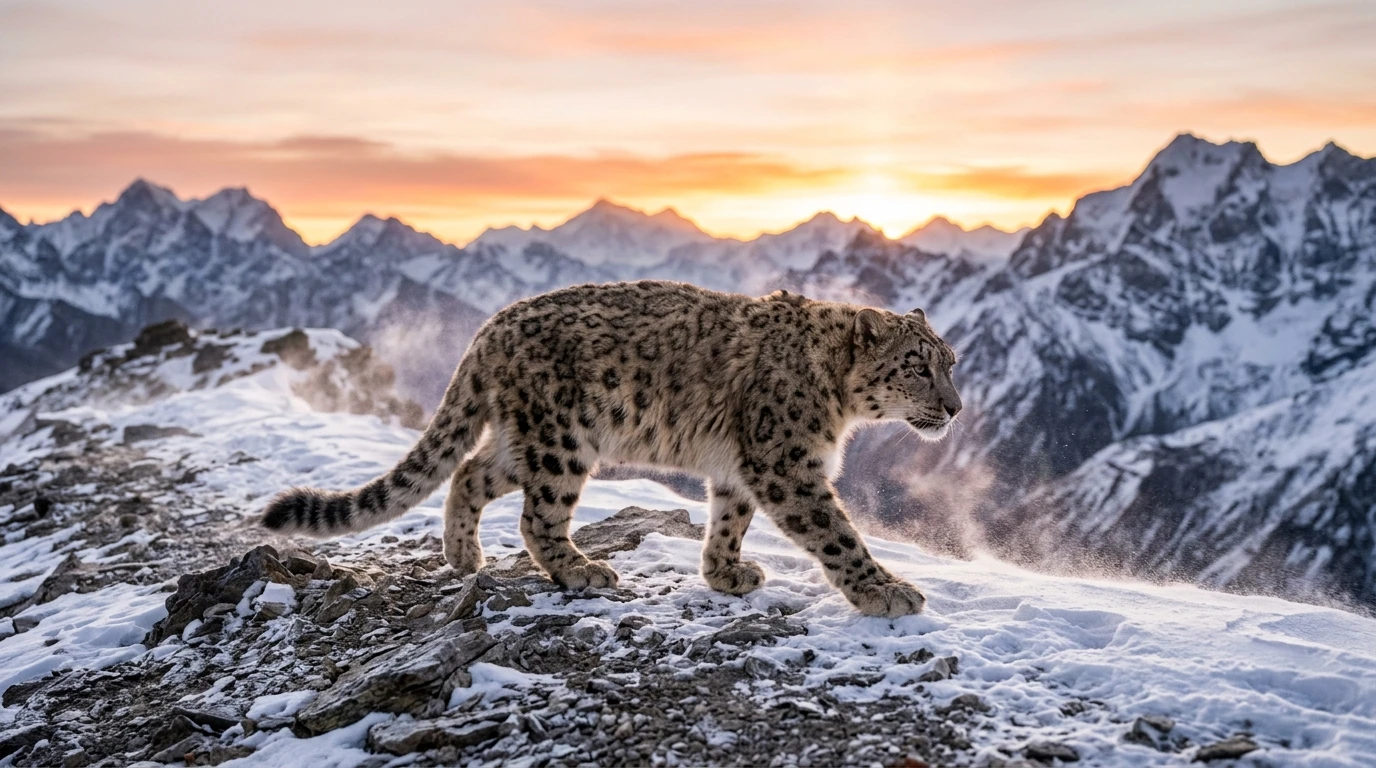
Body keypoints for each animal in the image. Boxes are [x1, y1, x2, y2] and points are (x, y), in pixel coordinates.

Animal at [261, 280, 962, 616]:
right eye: (918, 366)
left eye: (950, 362)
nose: (955, 408)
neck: (840, 407)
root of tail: (488, 329)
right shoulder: (787, 464)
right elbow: (838, 534)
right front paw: (888, 592)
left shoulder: (742, 468)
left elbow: (729, 519)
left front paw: (725, 573)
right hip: (562, 441)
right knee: (537, 516)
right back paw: (580, 569)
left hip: (526, 441)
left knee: (468, 472)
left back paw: (464, 556)